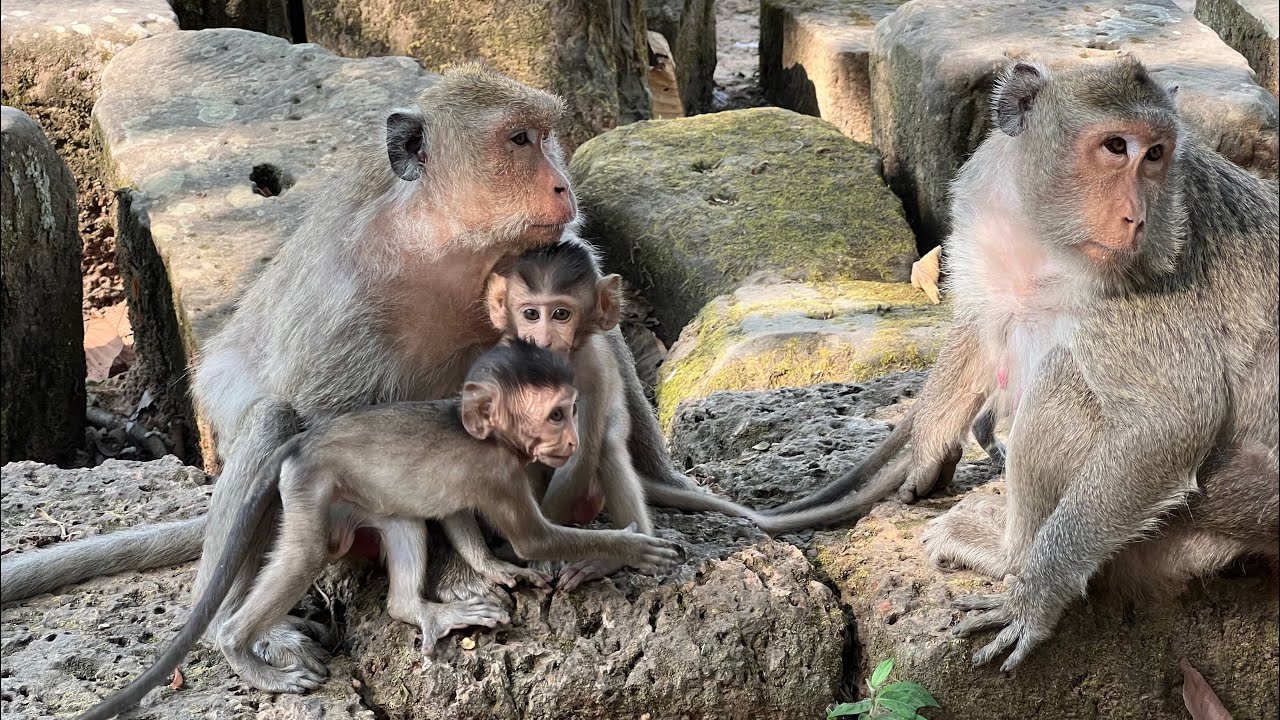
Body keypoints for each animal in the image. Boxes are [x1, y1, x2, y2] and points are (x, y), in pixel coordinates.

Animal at [1, 64, 714, 677]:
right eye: (518, 140)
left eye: (548, 138)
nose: (563, 185)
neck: (447, 252)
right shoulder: (345, 309)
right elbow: (334, 430)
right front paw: (466, 569)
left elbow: (599, 339)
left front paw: (666, 485)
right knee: (277, 428)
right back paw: (243, 629)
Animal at [75, 340, 680, 719]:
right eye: (557, 414)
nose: (574, 440)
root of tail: (300, 445)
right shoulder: (502, 472)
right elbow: (533, 538)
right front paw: (629, 547)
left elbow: (452, 514)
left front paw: (492, 566)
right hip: (310, 492)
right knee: (306, 553)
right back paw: (242, 651)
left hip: (361, 499)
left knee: (404, 519)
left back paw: (417, 610)